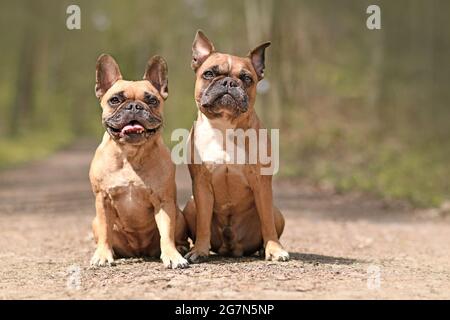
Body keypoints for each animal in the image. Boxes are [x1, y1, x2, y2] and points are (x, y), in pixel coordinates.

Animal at [89, 53, 188, 268]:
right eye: (115, 100)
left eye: (152, 100)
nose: (134, 106)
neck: (130, 155)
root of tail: (139, 251)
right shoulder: (103, 199)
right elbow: (105, 231)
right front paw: (102, 255)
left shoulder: (164, 201)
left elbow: (166, 233)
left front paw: (172, 256)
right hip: (94, 222)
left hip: (179, 215)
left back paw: (182, 248)